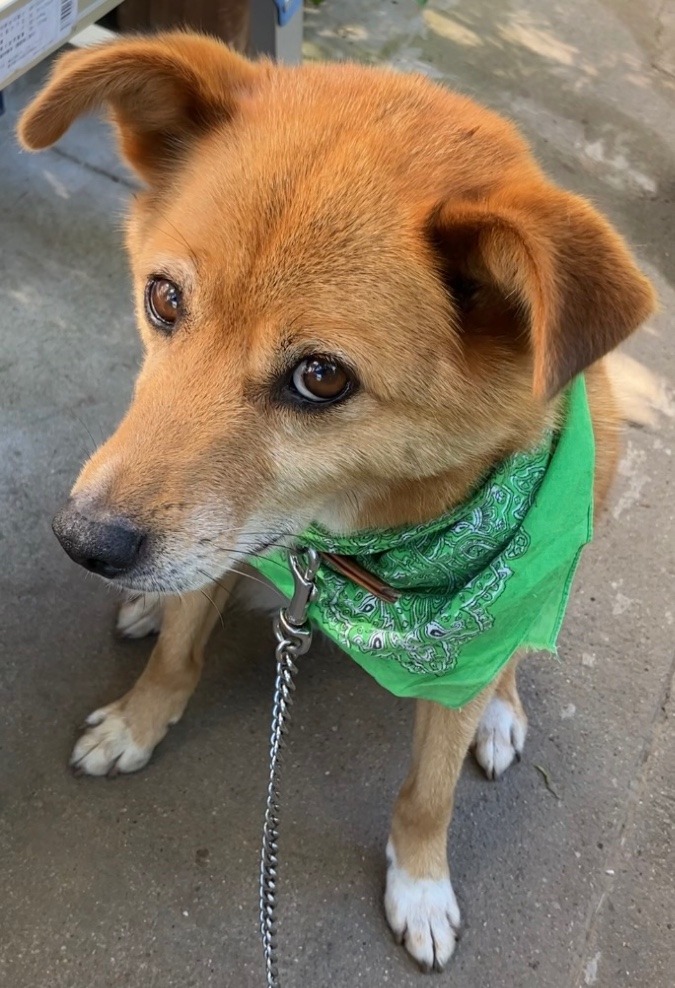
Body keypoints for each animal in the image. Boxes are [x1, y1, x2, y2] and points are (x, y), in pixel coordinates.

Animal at [17, 32, 660, 972]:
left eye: (320, 377)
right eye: (163, 299)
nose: (82, 542)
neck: (344, 552)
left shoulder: (456, 660)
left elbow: (428, 792)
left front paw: (420, 885)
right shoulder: (230, 537)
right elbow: (177, 655)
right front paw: (138, 721)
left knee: (516, 653)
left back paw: (502, 715)